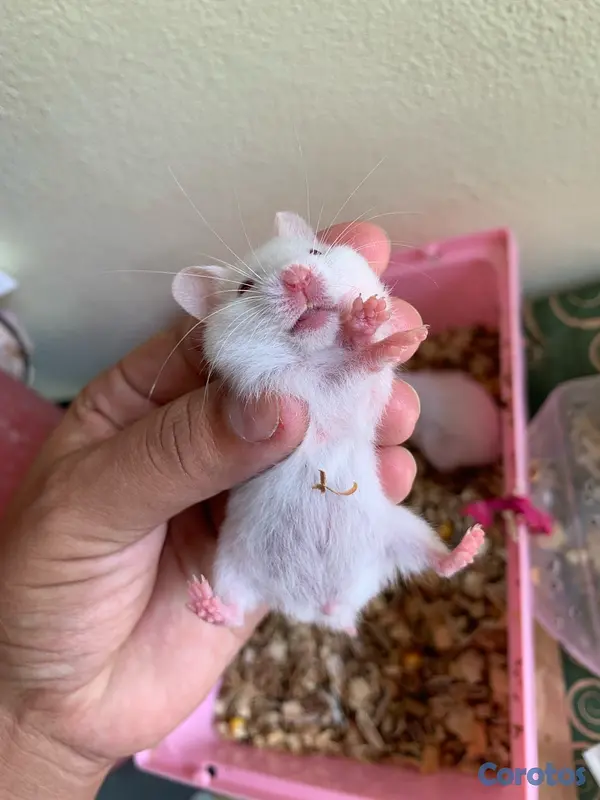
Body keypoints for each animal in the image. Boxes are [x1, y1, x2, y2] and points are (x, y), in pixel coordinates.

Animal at [172, 211, 485, 634]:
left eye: (315, 252)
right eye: (244, 287)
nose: (298, 276)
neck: (315, 355)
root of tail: (324, 609)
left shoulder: (365, 396)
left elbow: (364, 364)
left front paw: (373, 319)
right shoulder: (276, 388)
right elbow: (348, 365)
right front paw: (366, 332)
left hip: (403, 530)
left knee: (438, 562)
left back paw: (471, 543)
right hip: (232, 566)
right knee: (234, 612)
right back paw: (203, 601)